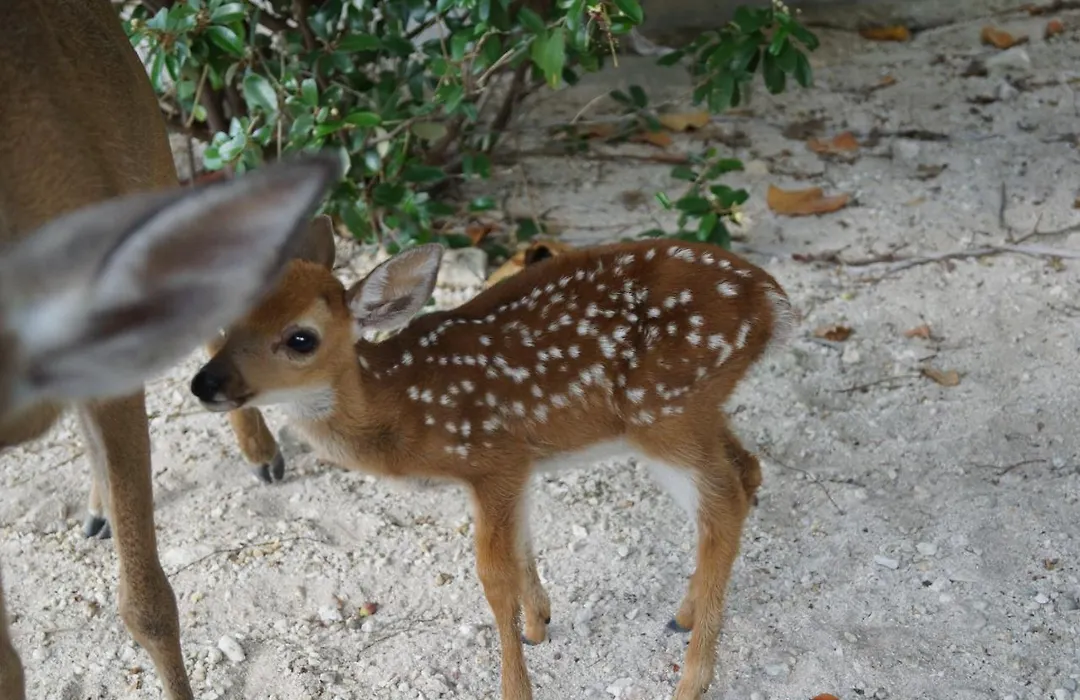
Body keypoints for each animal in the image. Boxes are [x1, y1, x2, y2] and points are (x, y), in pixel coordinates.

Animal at [191, 234, 796, 700]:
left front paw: (515, 685)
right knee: (746, 469)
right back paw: (684, 616)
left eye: (301, 339)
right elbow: (524, 549)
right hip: (696, 411)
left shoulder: (491, 457)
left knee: (724, 502)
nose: (205, 384)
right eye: (226, 319)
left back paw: (691, 680)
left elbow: (493, 576)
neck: (402, 407)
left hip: (665, 413)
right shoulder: (518, 465)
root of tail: (773, 300)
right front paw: (539, 624)